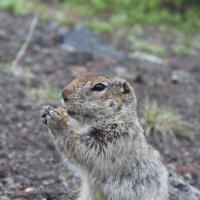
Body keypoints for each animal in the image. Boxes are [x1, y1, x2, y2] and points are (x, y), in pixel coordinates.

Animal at [40, 72, 169, 199]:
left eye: (99, 87)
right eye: (78, 76)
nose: (63, 94)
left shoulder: (118, 139)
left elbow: (90, 152)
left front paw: (58, 122)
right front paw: (46, 110)